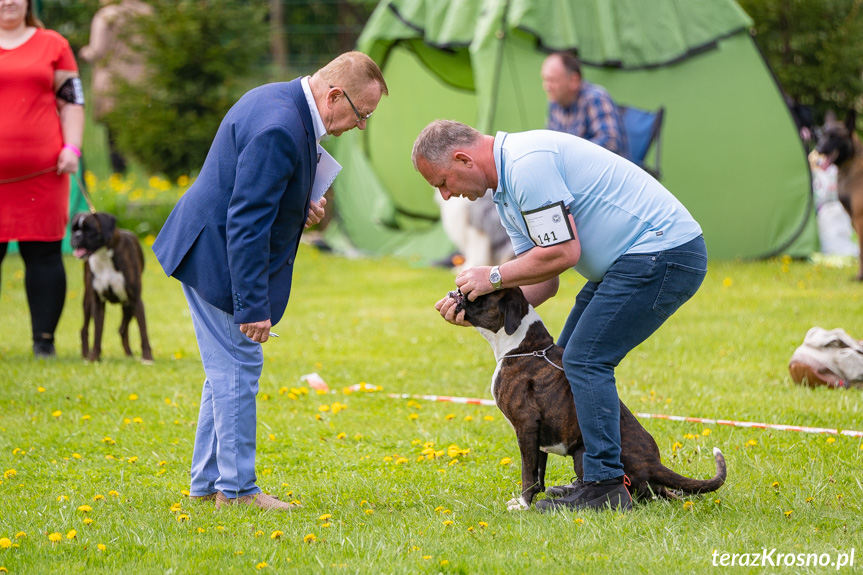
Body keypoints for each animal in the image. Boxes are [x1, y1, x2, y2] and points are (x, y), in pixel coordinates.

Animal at [71, 214, 154, 362]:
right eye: (73, 229)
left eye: (90, 229)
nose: (76, 236)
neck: (104, 255)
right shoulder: (98, 302)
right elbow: (97, 332)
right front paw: (94, 358)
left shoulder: (136, 300)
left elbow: (143, 330)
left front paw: (147, 358)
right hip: (88, 302)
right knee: (84, 329)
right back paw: (85, 354)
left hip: (128, 305)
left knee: (123, 329)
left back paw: (129, 355)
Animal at [448, 288, 724, 508]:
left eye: (476, 296)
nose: (455, 292)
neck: (524, 348)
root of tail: (652, 462)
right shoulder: (538, 437)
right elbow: (538, 473)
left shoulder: (526, 426)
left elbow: (528, 473)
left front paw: (524, 505)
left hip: (583, 453)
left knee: (637, 493)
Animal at [816, 110, 863, 282]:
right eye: (822, 135)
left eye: (834, 136)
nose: (818, 149)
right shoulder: (853, 220)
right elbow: (860, 252)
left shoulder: (859, 219)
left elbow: (861, 250)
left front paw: (860, 277)